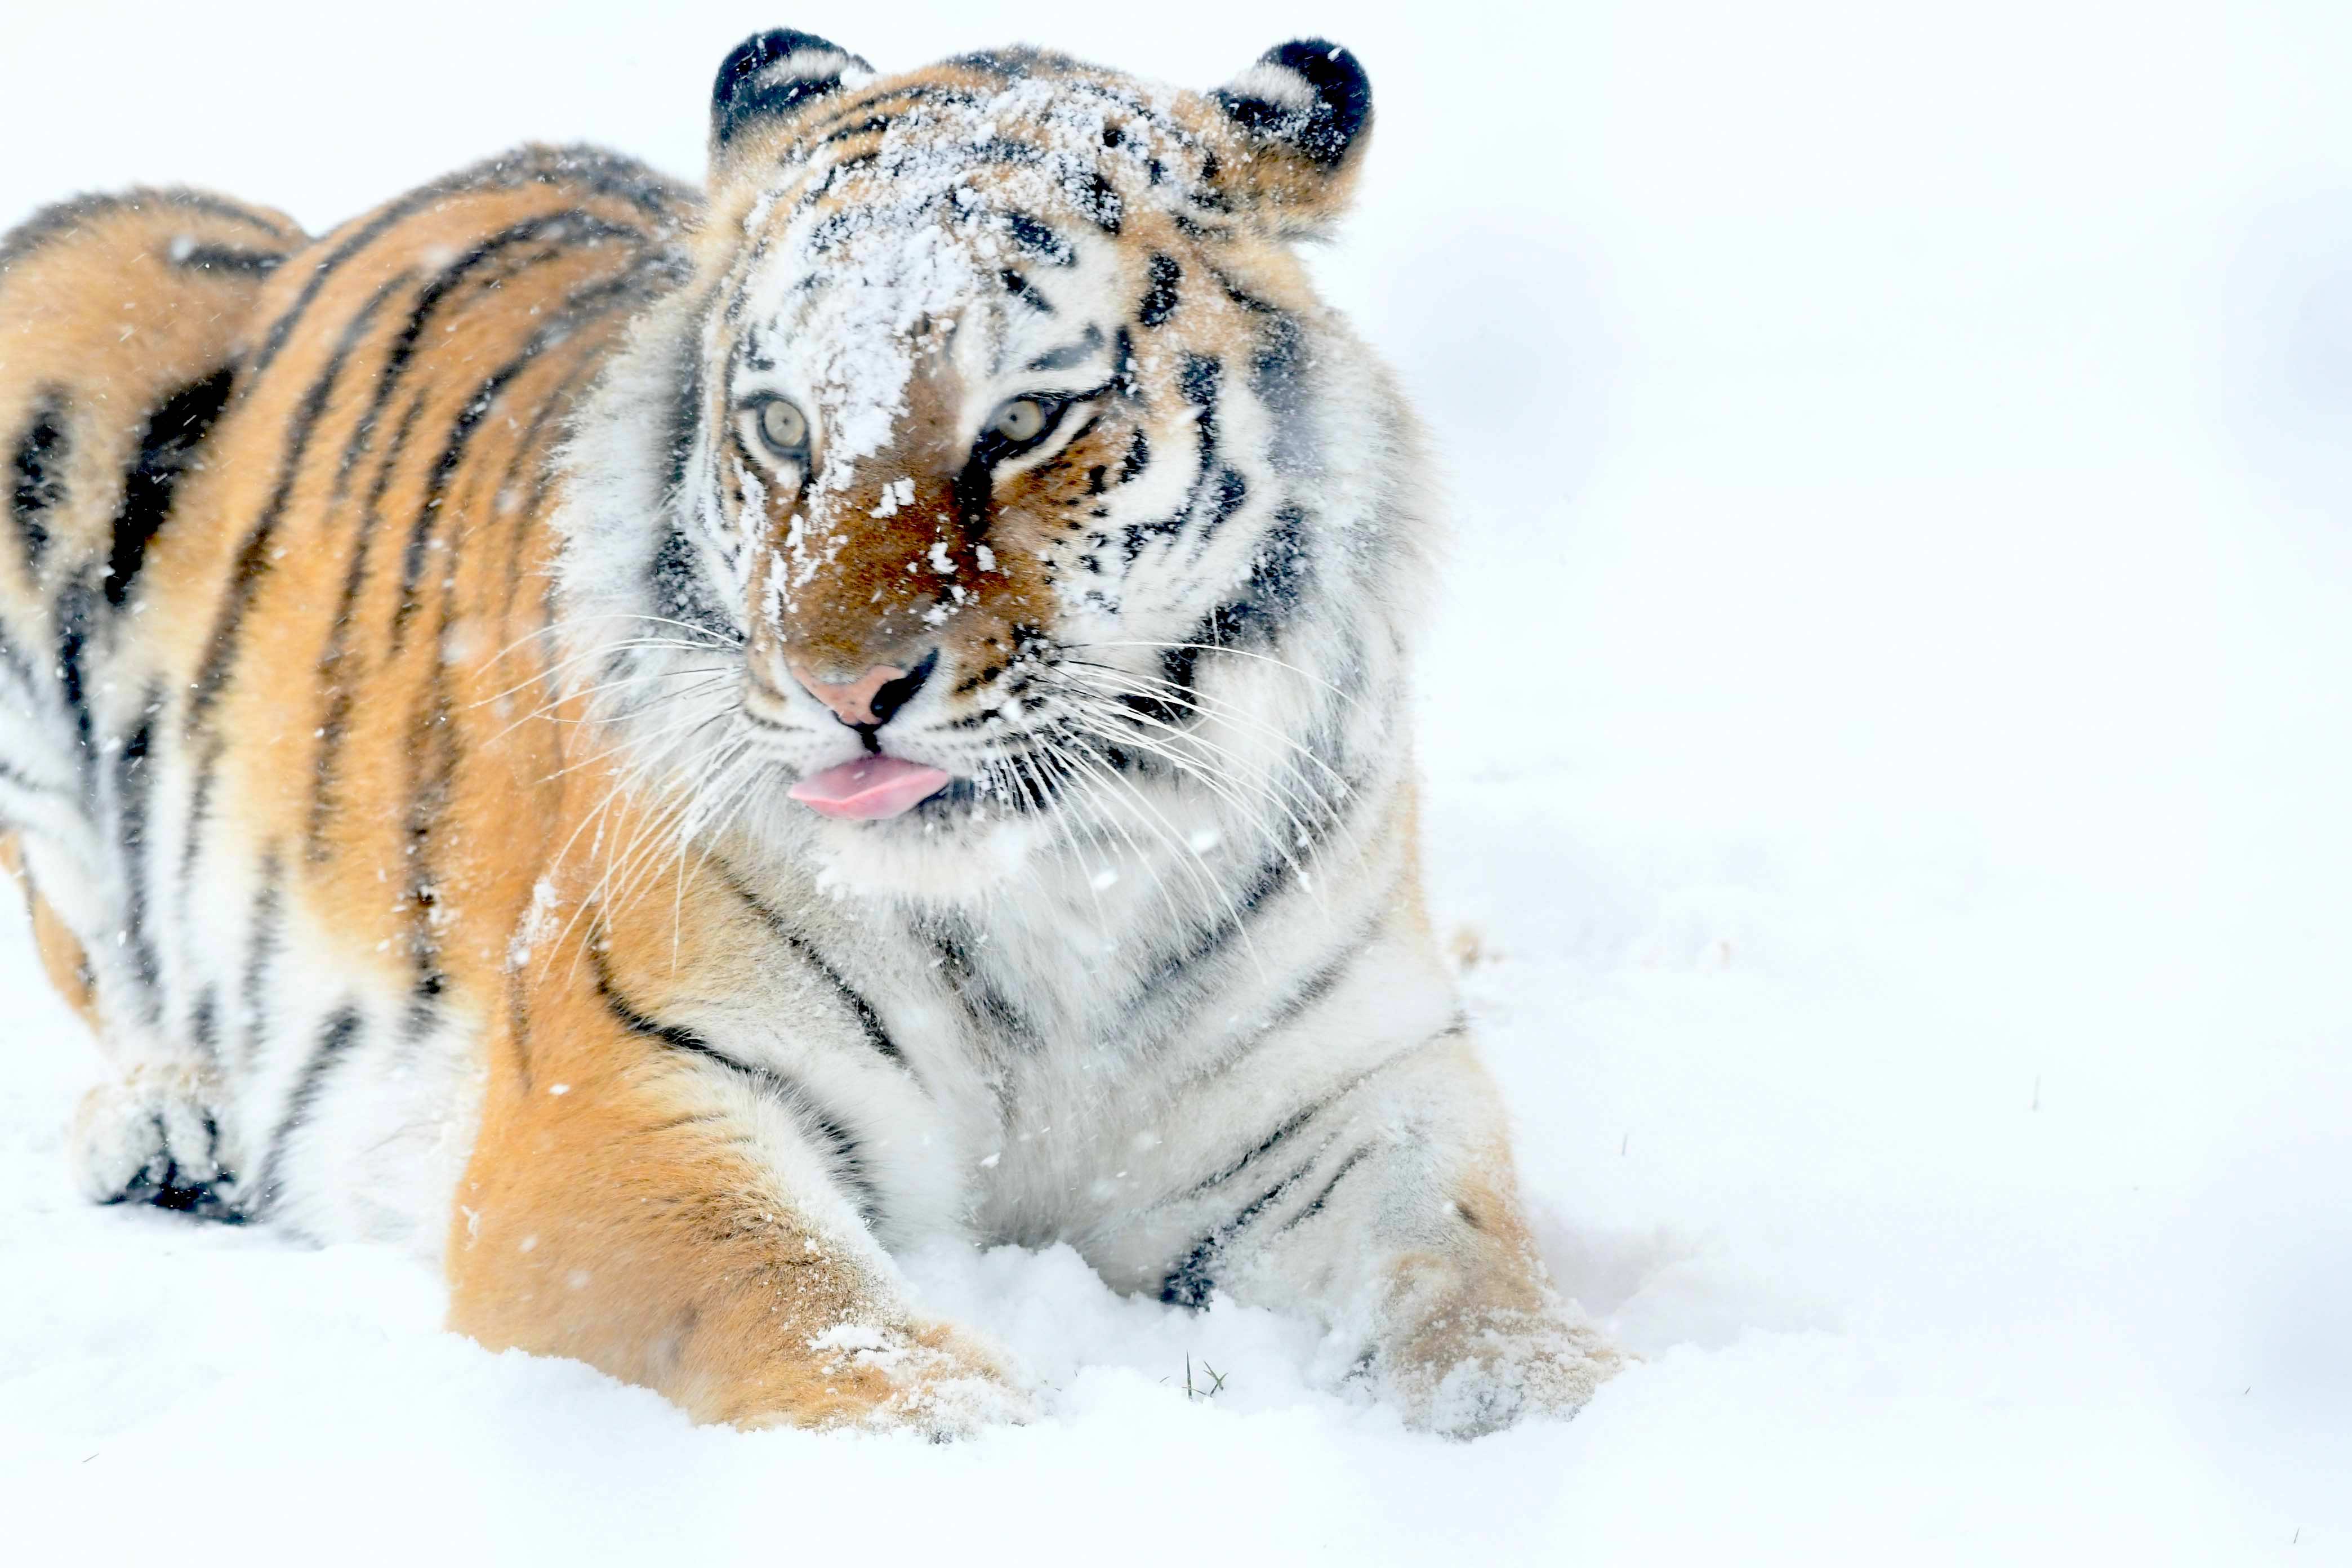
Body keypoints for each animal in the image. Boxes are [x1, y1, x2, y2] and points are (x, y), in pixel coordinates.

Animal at [0, 29, 1622, 1436]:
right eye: (782, 427)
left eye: (1027, 420)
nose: (847, 689)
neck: (1052, 885)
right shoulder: (625, 1104)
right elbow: (795, 1306)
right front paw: (971, 1436)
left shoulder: (1350, 1102)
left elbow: (1465, 1272)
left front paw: (1559, 1407)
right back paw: (172, 1129)